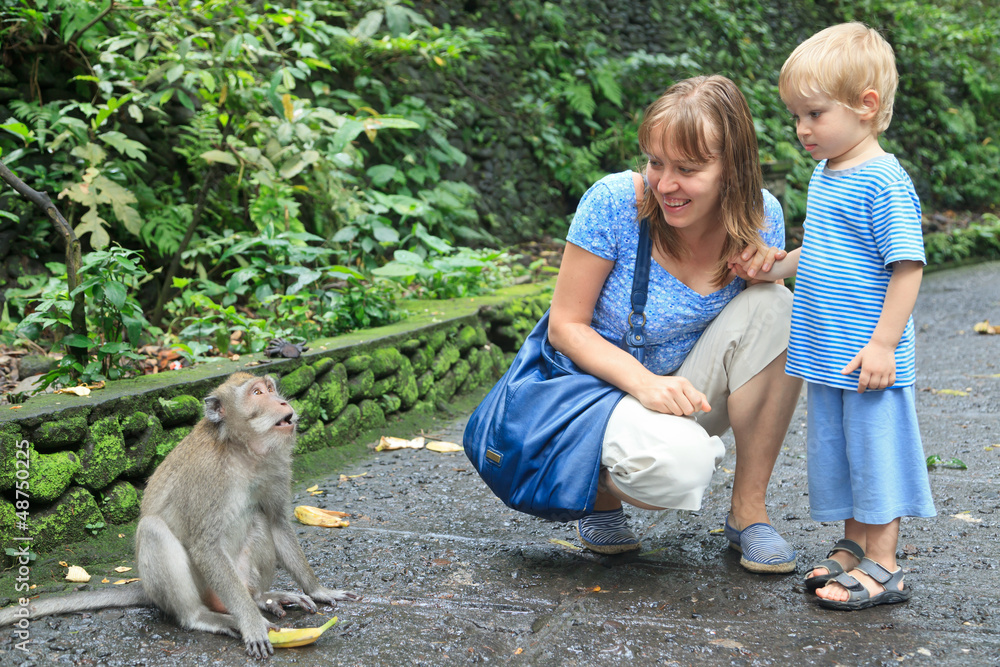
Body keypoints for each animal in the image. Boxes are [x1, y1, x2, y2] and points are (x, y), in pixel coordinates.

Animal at [0, 372, 358, 659]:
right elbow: (204, 546)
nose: (283, 401)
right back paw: (212, 616)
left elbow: (276, 523)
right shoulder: (207, 475)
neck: (241, 452)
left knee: (257, 520)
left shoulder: (275, 466)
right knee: (154, 531)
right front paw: (253, 625)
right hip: (202, 588)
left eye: (271, 388)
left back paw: (262, 598)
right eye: (258, 393)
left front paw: (319, 590)